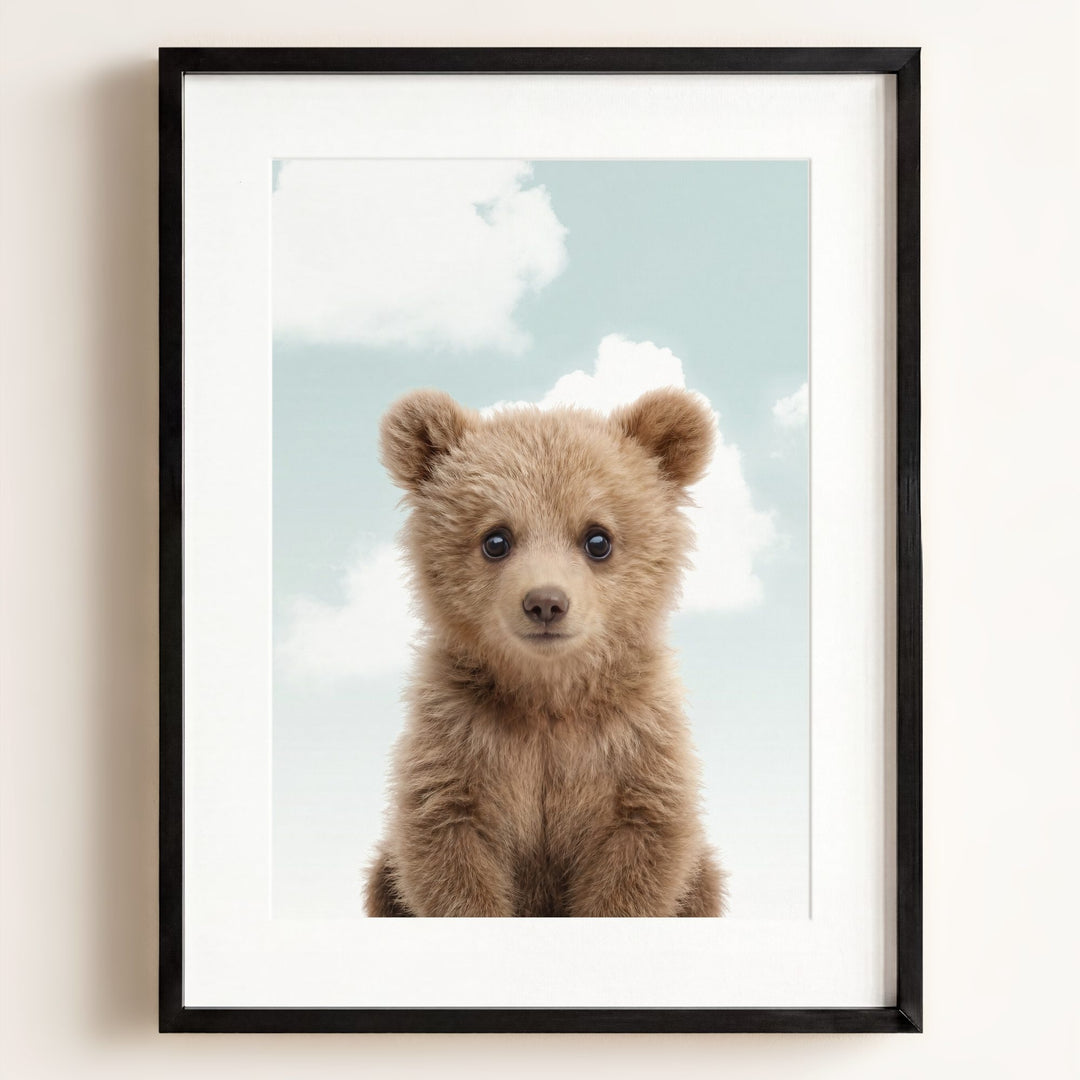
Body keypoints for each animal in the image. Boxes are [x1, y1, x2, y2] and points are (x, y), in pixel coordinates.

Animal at [365, 385, 726, 917]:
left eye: (598, 538)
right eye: (496, 539)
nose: (546, 603)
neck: (547, 695)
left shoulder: (634, 745)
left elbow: (640, 851)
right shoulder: (458, 739)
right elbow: (447, 848)